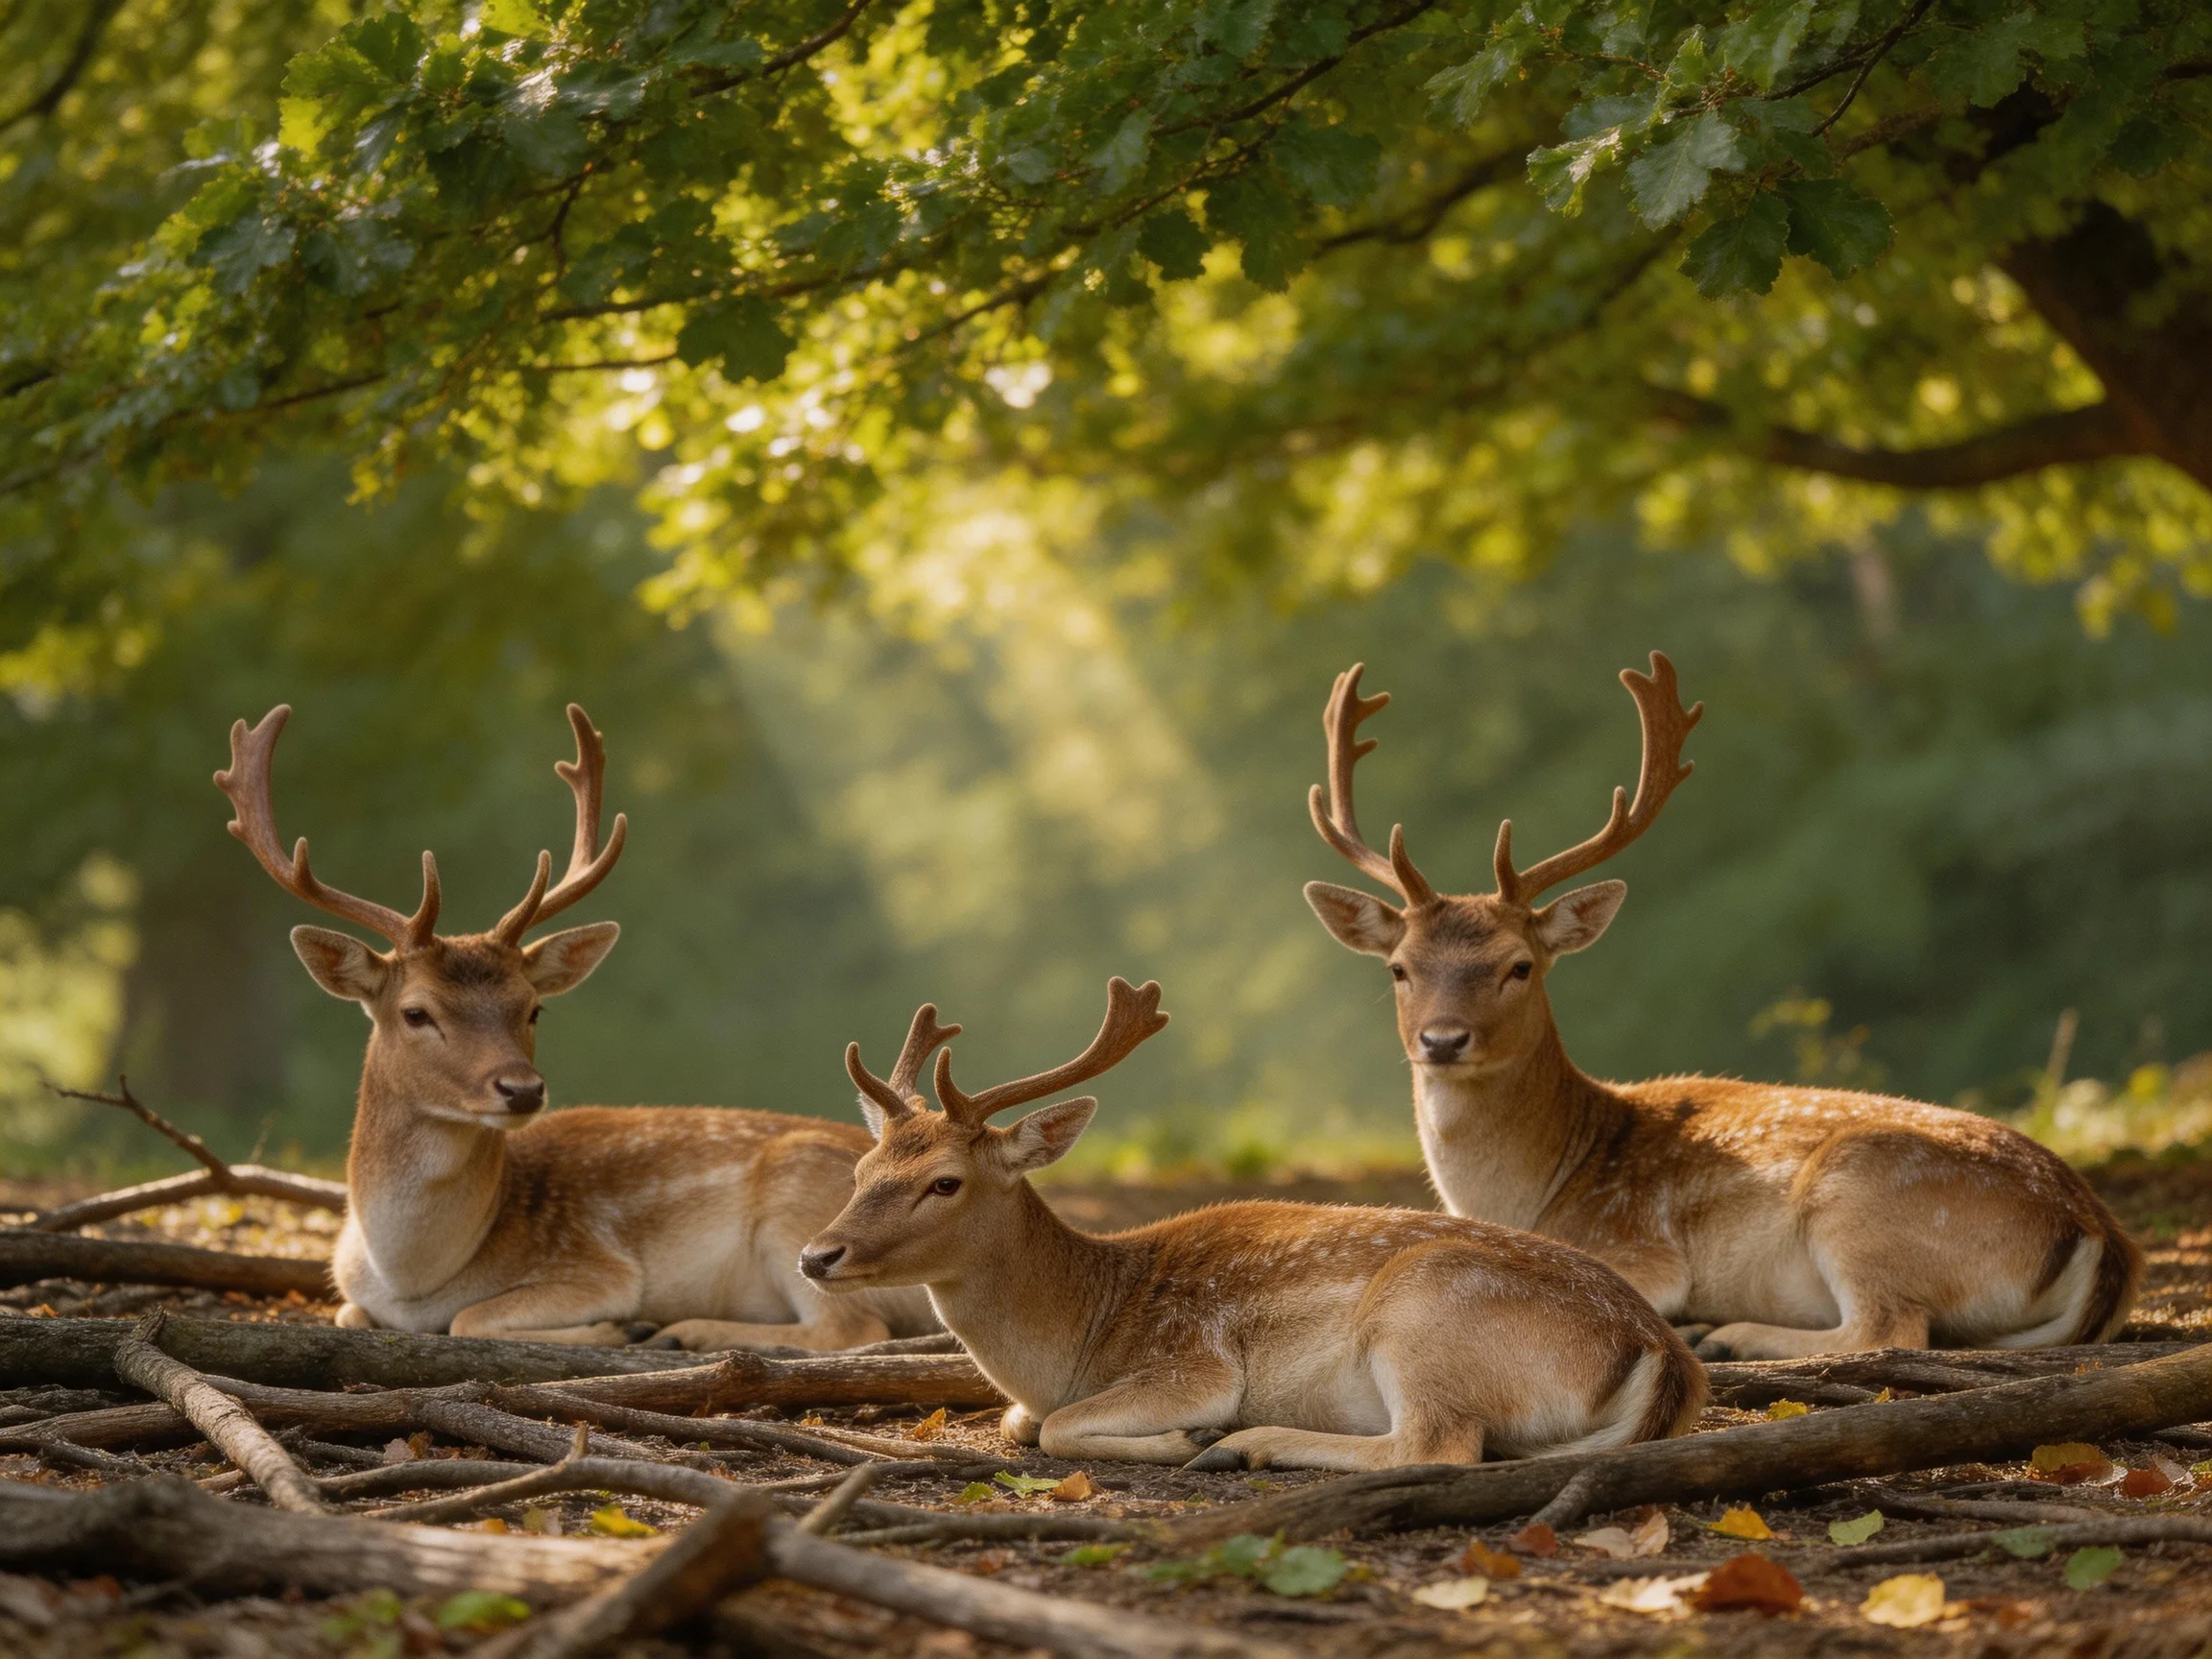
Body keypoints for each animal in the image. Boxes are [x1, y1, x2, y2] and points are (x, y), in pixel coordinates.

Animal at [214, 703, 936, 1350]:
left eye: (533, 1006)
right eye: (415, 1012)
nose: (521, 1090)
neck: (410, 1278)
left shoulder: (595, 1266)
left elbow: (471, 1317)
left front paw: (620, 1326)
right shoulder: (347, 1291)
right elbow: (348, 1313)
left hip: (805, 1214)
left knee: (851, 1330)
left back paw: (678, 1331)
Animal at [799, 977, 1705, 1471]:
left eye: (944, 1183)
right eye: (862, 1171)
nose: (817, 1254)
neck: (1081, 1335)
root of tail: (1661, 1351)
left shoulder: (1194, 1359)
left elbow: (1055, 1427)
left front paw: (1186, 1437)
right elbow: (1023, 1421)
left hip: (1427, 1309)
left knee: (1436, 1443)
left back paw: (1244, 1443)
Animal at [1302, 653, 2142, 1362]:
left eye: (1519, 966)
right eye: (1400, 968)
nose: (1443, 1040)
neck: (1534, 1193)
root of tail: (2100, 1233)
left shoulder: (1643, 1249)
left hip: (1860, 1195)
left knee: (1889, 1328)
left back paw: (1724, 1333)